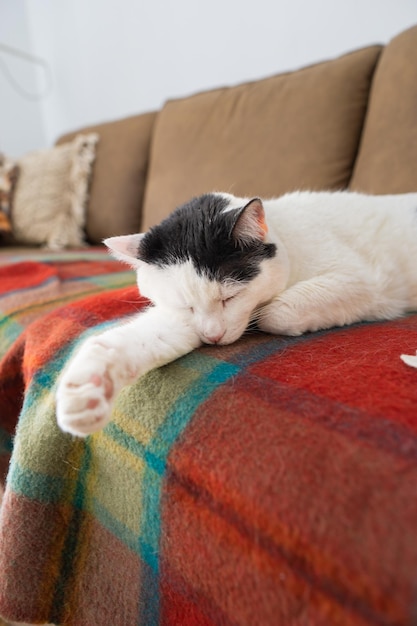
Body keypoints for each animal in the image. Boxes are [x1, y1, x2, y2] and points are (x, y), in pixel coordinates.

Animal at [56, 188, 416, 436]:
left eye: (230, 297)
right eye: (186, 306)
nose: (212, 337)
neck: (290, 239)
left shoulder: (364, 282)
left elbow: (276, 313)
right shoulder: (180, 320)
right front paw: (86, 391)